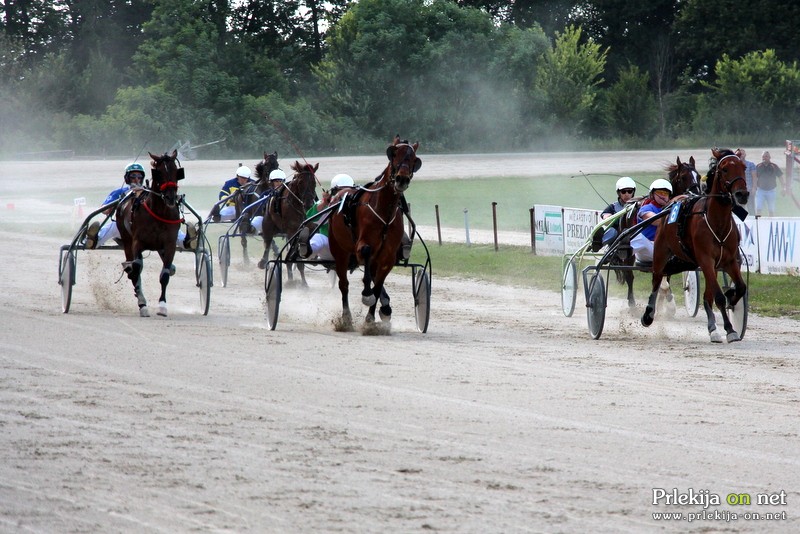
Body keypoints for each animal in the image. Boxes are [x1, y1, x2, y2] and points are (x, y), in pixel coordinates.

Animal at [116, 151, 185, 318]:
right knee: (135, 267)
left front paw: (162, 307)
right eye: (158, 172)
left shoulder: (169, 244)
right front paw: (142, 304)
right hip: (127, 240)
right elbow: (136, 267)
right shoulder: (137, 242)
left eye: (176, 170)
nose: (170, 197)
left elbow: (165, 274)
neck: (159, 212)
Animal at [328, 140, 422, 328]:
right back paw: (346, 317)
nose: (401, 179)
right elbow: (365, 254)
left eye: (414, 159)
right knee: (344, 284)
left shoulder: (387, 257)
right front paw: (366, 294)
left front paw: (370, 319)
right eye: (393, 154)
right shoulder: (361, 246)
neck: (384, 211)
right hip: (339, 251)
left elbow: (378, 287)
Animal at [644, 149, 752, 344]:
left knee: (706, 295)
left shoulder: (729, 261)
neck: (717, 222)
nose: (742, 194)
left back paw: (713, 328)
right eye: (724, 169)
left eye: (743, 167)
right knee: (657, 279)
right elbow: (718, 297)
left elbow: (740, 287)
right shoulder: (705, 259)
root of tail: (674, 201)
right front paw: (730, 329)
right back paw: (648, 314)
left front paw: (732, 299)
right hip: (661, 252)